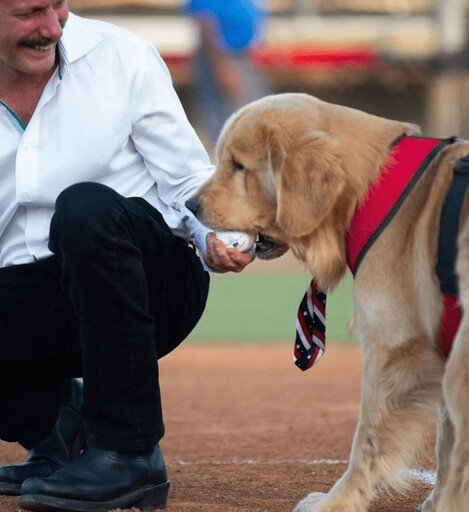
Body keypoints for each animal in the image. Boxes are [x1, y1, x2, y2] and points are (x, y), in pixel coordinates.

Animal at [185, 93, 468, 512]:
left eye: (238, 165)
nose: (188, 205)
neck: (372, 189)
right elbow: (446, 448)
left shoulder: (394, 350)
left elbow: (368, 441)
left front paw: (339, 501)